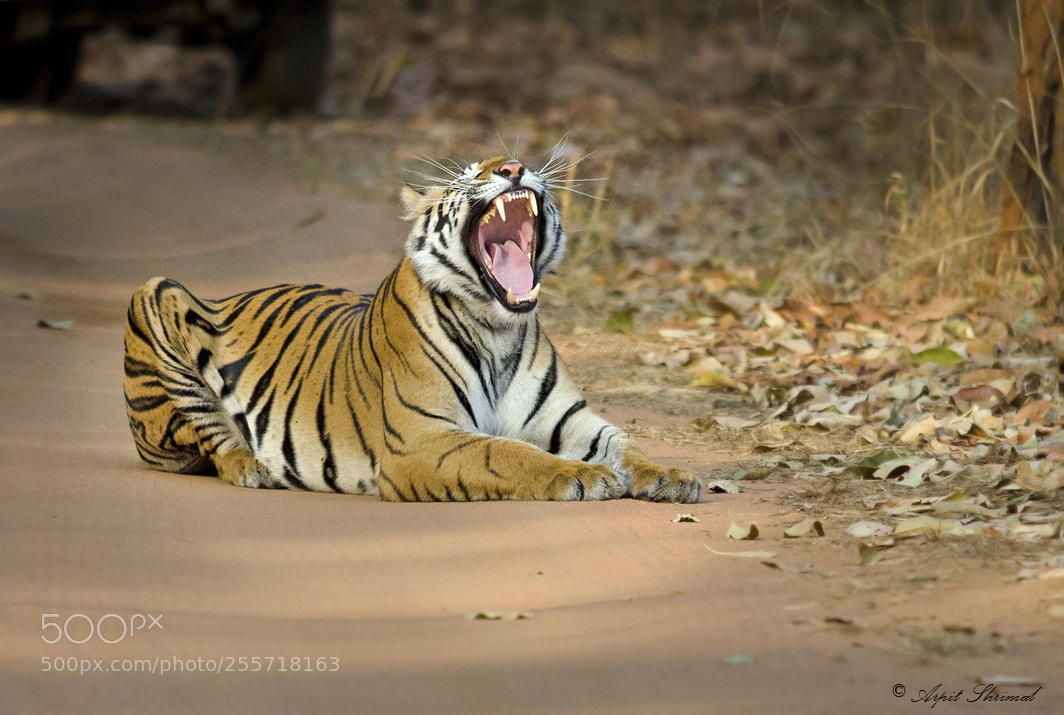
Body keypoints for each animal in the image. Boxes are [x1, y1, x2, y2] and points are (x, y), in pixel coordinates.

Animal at [123, 155, 701, 503]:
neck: (499, 329)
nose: (514, 167)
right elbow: (506, 452)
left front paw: (672, 477)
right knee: (215, 439)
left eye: (526, 162)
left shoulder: (573, 421)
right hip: (155, 293)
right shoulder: (422, 439)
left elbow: (625, 444)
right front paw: (579, 476)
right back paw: (253, 467)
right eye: (469, 172)